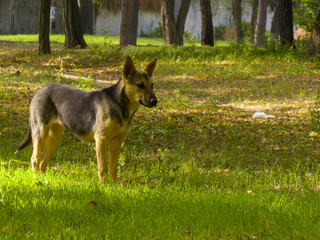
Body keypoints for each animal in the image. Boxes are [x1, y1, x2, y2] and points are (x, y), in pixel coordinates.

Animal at [15, 55, 158, 180]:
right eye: (140, 85)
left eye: (152, 85)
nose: (155, 101)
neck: (120, 105)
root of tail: (40, 90)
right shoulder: (101, 139)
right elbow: (102, 168)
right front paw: (103, 186)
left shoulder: (117, 142)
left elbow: (113, 170)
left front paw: (113, 186)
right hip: (40, 133)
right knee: (35, 159)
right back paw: (35, 179)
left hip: (54, 137)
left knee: (43, 160)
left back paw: (43, 179)